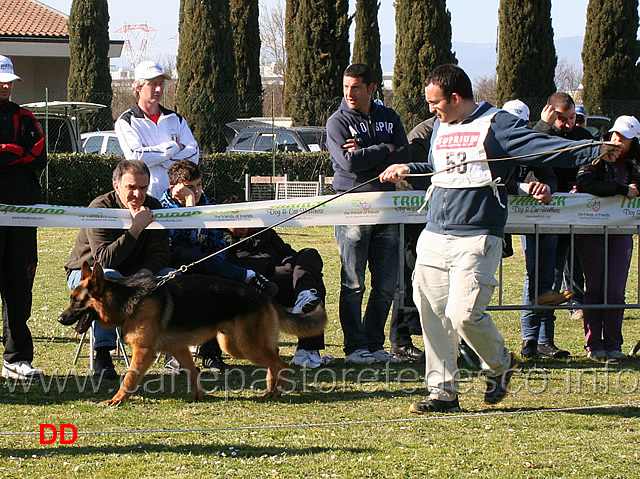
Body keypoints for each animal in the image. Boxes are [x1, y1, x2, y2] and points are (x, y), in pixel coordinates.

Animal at [58, 262, 328, 404]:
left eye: (77, 302)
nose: (60, 318)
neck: (128, 298)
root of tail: (265, 298)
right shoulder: (178, 349)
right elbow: (192, 370)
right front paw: (198, 394)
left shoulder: (144, 351)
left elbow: (130, 377)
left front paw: (117, 399)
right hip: (235, 345)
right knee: (274, 360)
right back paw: (271, 387)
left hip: (245, 346)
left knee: (281, 362)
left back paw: (275, 391)